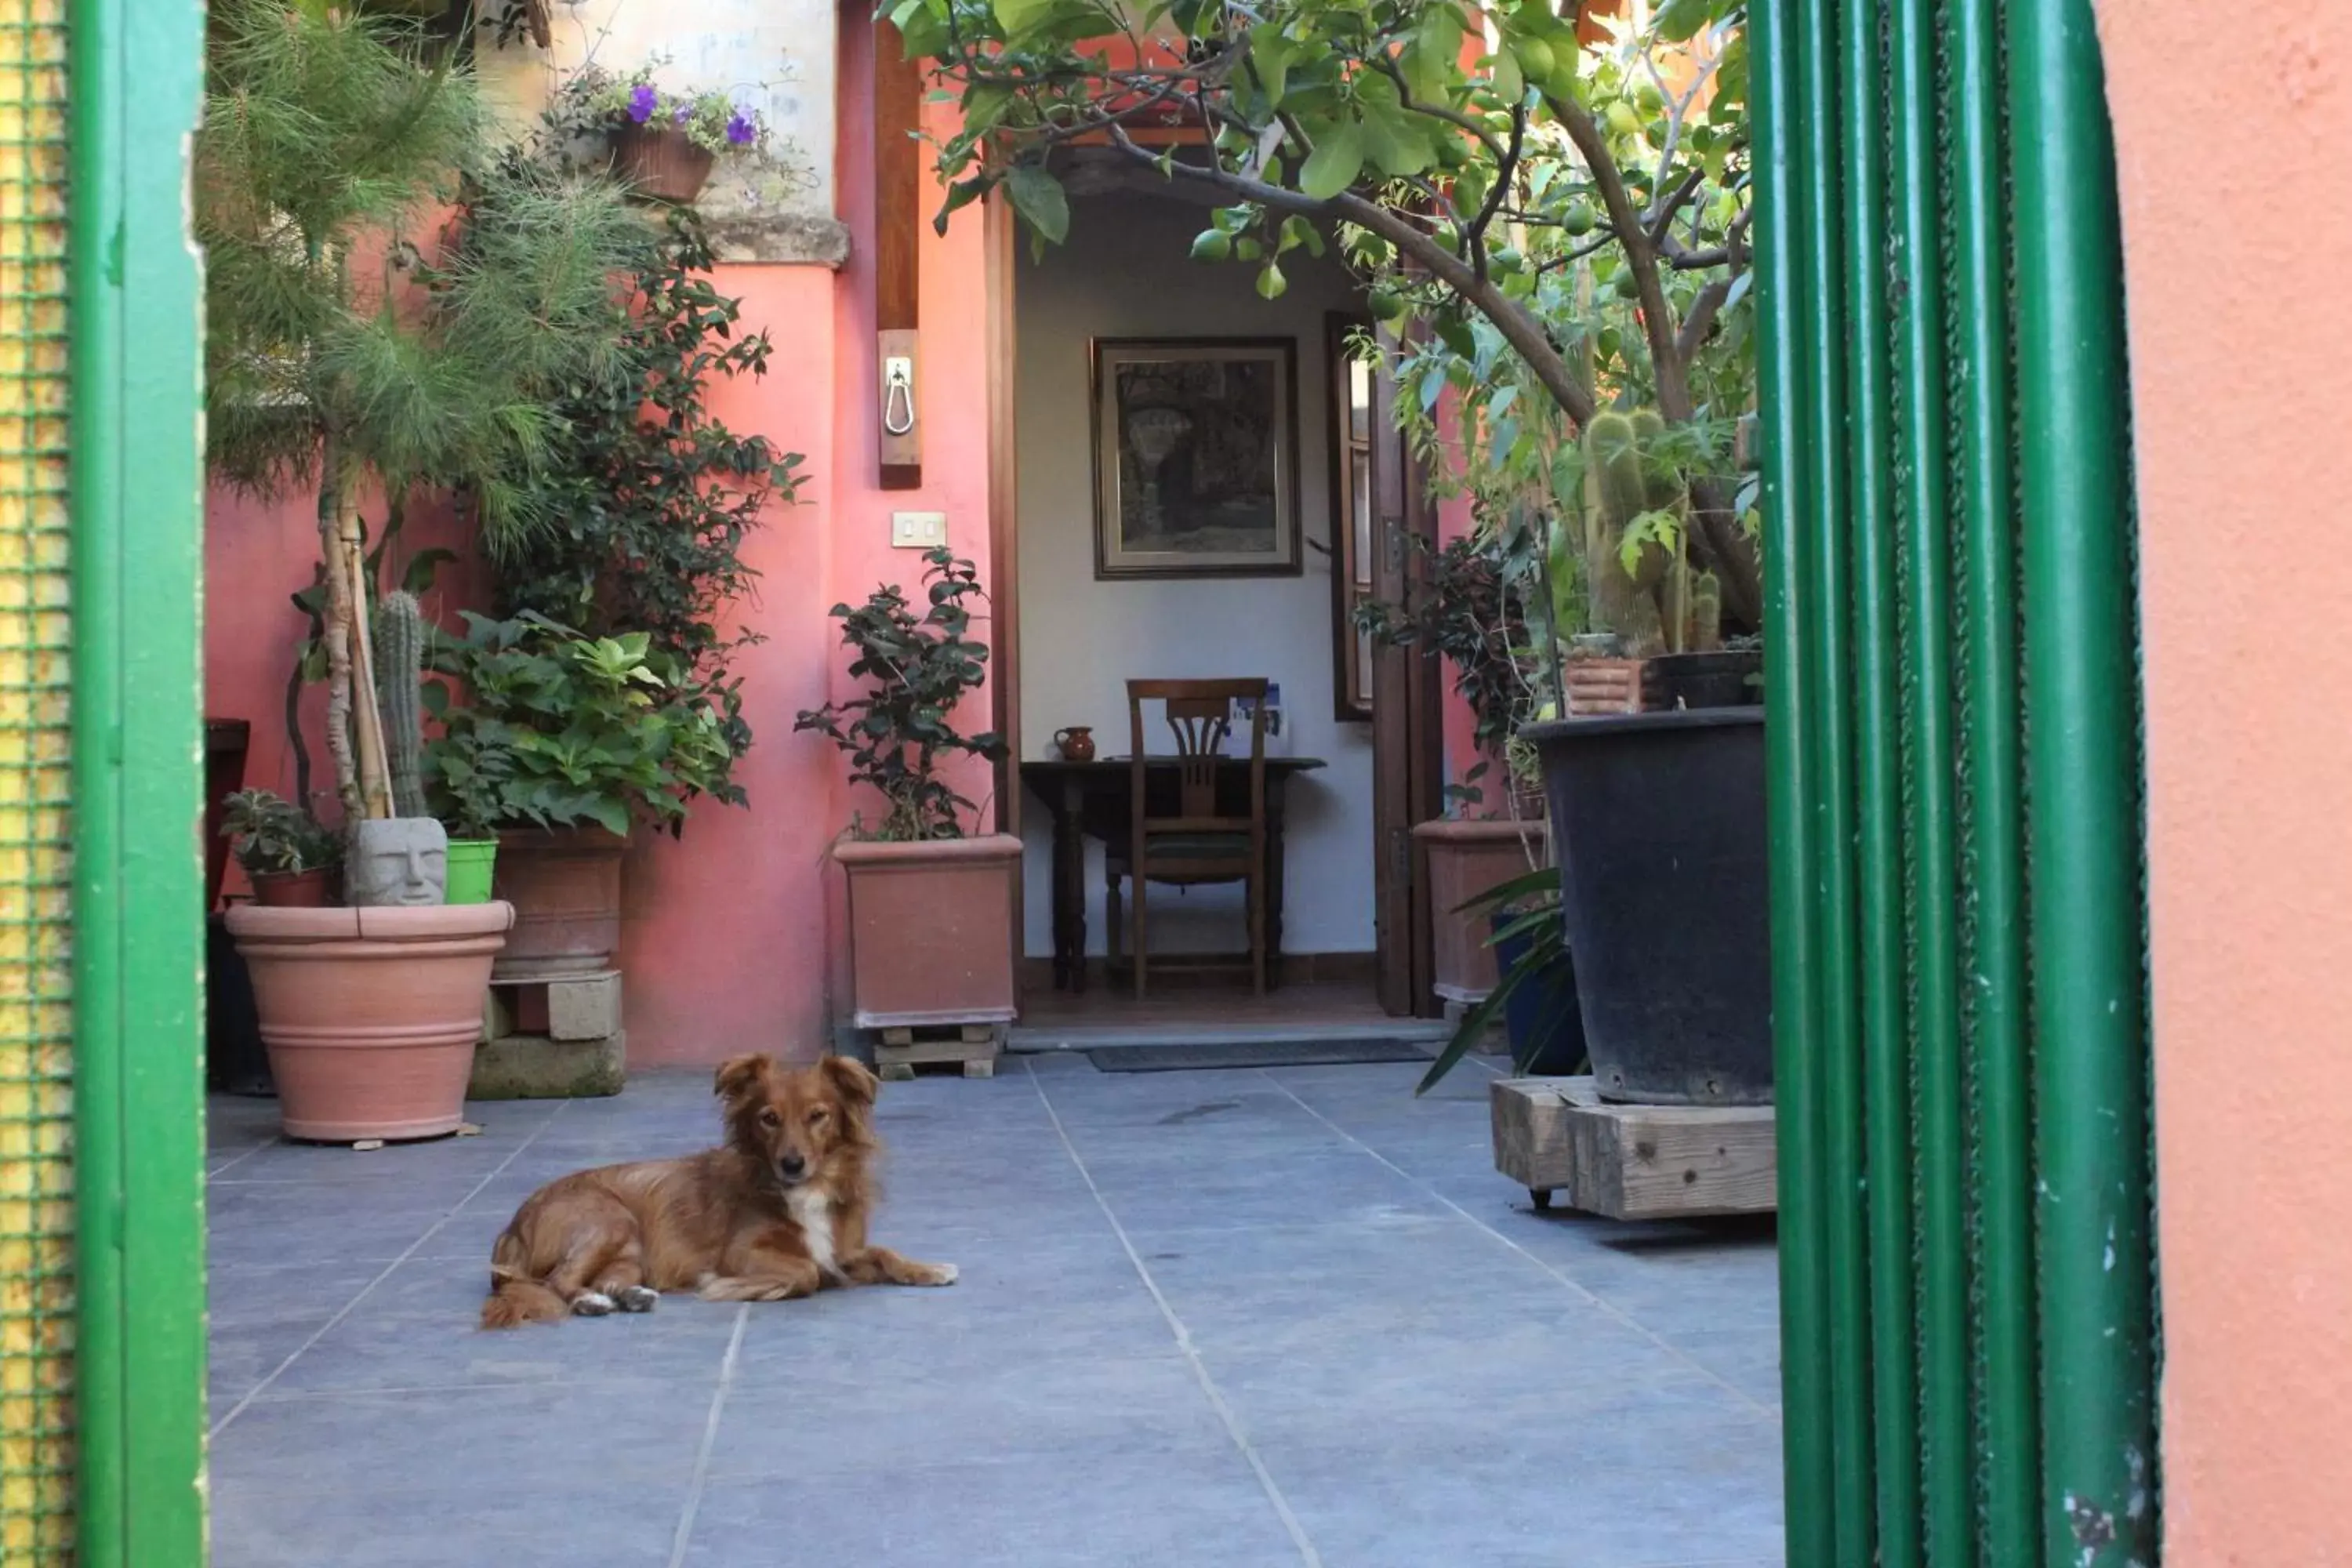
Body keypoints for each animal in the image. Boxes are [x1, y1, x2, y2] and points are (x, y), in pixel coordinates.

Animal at [477, 1053, 955, 1326]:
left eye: (818, 1116)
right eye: (769, 1118)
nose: (792, 1164)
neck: (803, 1190)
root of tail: (510, 1227)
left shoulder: (841, 1248)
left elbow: (883, 1252)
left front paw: (929, 1269)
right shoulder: (740, 1253)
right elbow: (805, 1271)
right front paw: (733, 1287)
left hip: (630, 1252)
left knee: (599, 1280)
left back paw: (629, 1297)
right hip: (610, 1220)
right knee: (558, 1281)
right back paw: (592, 1303)